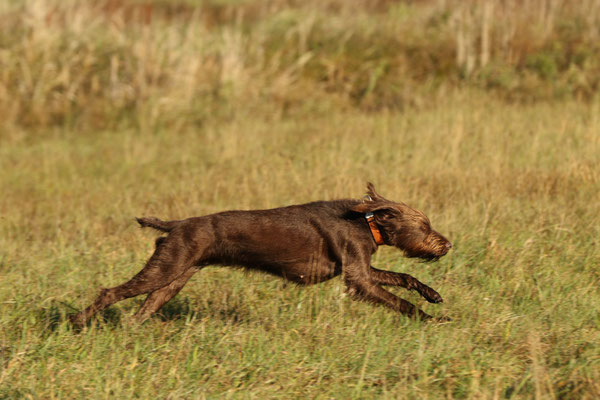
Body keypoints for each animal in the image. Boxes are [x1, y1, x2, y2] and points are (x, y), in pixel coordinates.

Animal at [69, 183, 450, 326]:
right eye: (425, 226)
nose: (447, 244)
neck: (365, 221)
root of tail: (177, 224)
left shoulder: (362, 271)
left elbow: (405, 278)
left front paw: (433, 295)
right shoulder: (357, 277)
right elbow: (398, 300)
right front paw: (431, 319)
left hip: (173, 278)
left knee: (142, 309)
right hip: (165, 269)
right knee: (110, 292)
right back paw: (78, 322)